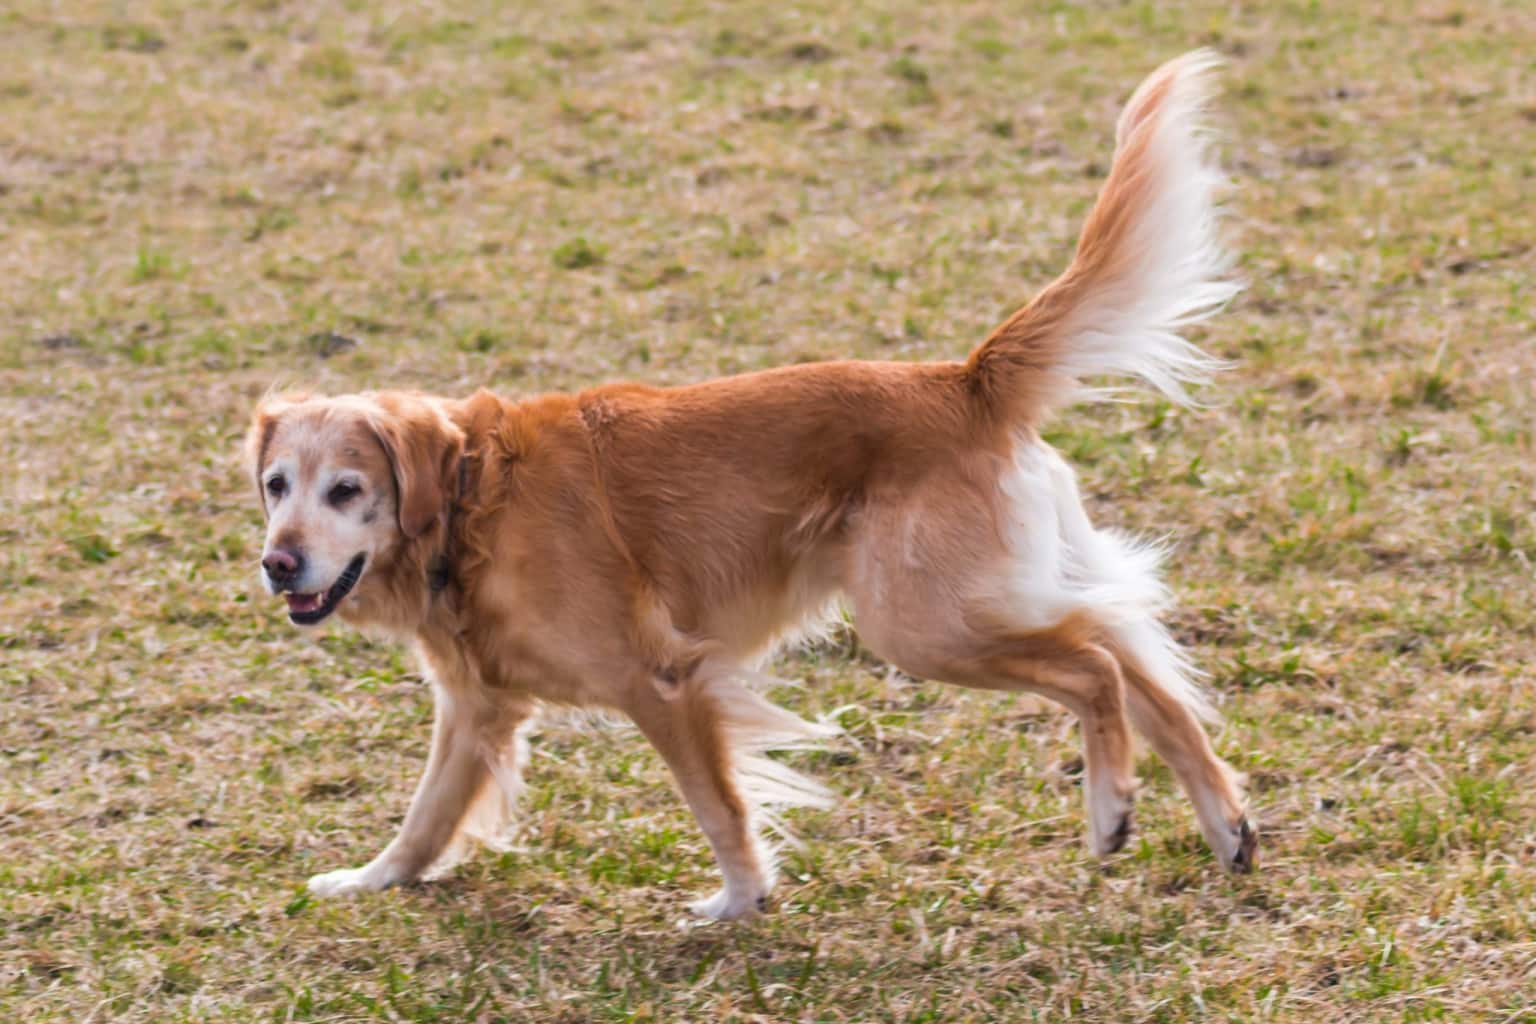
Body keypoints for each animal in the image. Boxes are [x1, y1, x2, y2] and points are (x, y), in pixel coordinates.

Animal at [245, 52, 1253, 921]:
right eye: (275, 485)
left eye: (346, 490)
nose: (276, 564)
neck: (470, 502)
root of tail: (963, 379)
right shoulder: (476, 709)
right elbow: (424, 818)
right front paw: (367, 881)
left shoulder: (662, 678)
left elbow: (717, 804)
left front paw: (738, 901)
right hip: (975, 604)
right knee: (1131, 655)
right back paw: (1224, 824)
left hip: (921, 624)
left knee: (1093, 665)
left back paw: (1111, 807)